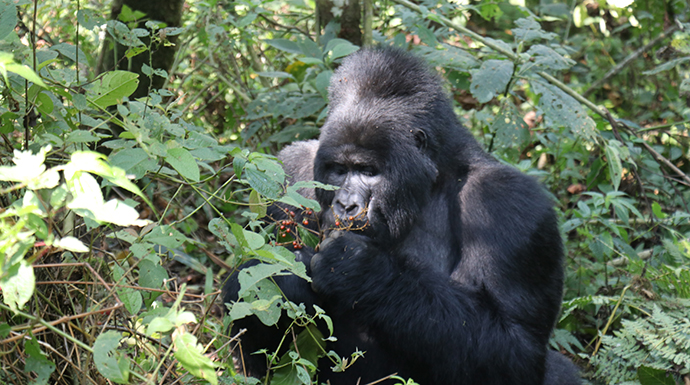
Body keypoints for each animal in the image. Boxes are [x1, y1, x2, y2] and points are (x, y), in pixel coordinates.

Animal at [223, 46, 576, 382]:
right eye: (339, 170)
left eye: (368, 171)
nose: (345, 205)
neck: (430, 180)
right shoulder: (288, 170)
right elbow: (248, 292)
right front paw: (283, 280)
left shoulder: (508, 203)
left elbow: (516, 347)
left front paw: (361, 271)